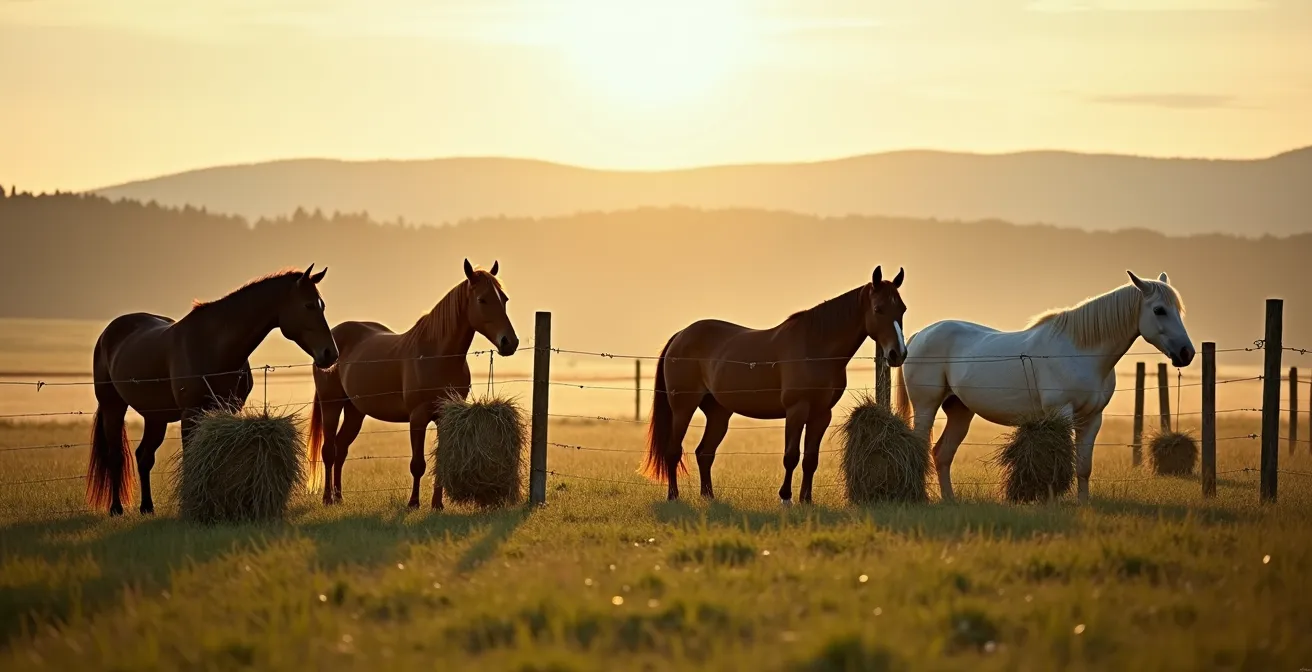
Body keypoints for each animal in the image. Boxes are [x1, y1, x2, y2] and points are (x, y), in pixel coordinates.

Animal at [86, 265, 339, 517]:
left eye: (322, 305)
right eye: (308, 305)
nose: (330, 354)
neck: (213, 346)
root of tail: (110, 332)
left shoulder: (228, 409)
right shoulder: (190, 414)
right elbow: (190, 459)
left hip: (155, 416)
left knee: (144, 456)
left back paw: (147, 507)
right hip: (113, 408)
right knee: (115, 456)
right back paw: (116, 508)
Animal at [308, 259, 518, 510]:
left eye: (504, 298)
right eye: (482, 299)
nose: (510, 342)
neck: (437, 355)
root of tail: (329, 345)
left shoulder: (445, 417)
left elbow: (440, 462)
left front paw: (437, 505)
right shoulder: (418, 417)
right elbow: (417, 464)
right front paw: (414, 503)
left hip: (354, 411)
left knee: (341, 449)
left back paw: (339, 497)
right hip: (331, 404)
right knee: (329, 450)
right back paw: (327, 498)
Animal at [640, 266, 909, 505]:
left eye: (902, 309)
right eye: (878, 309)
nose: (898, 354)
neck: (815, 347)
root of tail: (681, 335)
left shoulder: (822, 414)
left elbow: (810, 459)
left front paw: (806, 499)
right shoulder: (796, 409)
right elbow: (791, 456)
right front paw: (785, 497)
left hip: (718, 413)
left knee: (704, 453)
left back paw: (708, 497)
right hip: (683, 408)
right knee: (673, 451)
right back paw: (673, 497)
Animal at [894, 271, 1194, 504]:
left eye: (1179, 311)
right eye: (1159, 310)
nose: (1186, 353)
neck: (1080, 352)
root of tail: (920, 335)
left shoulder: (1092, 418)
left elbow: (1083, 466)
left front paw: (1083, 504)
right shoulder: (1060, 413)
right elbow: (1056, 459)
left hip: (960, 411)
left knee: (942, 454)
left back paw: (950, 500)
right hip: (926, 406)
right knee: (921, 447)